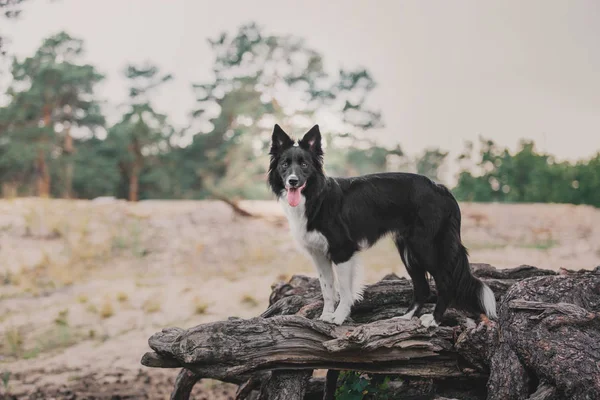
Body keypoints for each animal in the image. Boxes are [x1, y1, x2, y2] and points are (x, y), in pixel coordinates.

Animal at [268, 126, 496, 328]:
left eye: (305, 165)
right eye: (285, 165)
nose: (293, 181)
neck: (316, 198)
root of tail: (441, 188)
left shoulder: (343, 250)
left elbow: (344, 289)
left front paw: (339, 317)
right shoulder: (319, 255)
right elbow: (328, 288)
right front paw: (326, 315)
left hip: (426, 247)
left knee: (445, 283)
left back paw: (434, 320)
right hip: (409, 251)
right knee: (422, 288)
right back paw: (405, 317)